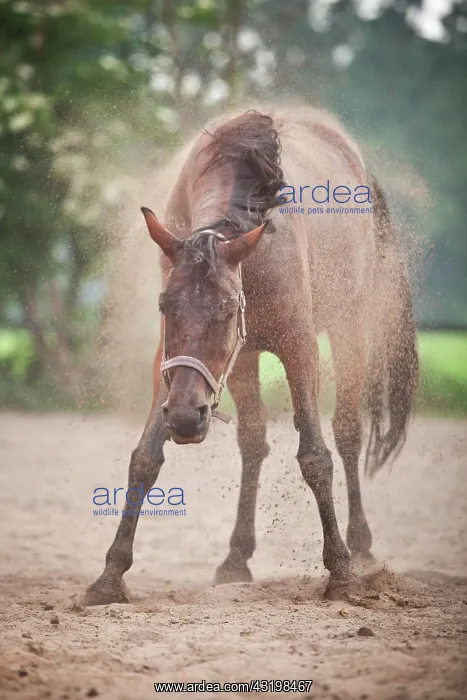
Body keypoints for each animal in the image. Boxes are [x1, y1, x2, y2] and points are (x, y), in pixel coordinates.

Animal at [84, 107, 418, 605]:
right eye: (165, 306)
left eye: (226, 309)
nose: (186, 417)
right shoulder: (176, 364)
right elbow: (145, 458)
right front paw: (110, 576)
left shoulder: (300, 347)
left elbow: (315, 457)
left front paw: (339, 572)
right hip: (240, 363)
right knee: (254, 441)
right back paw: (236, 558)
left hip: (350, 328)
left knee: (346, 433)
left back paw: (360, 549)